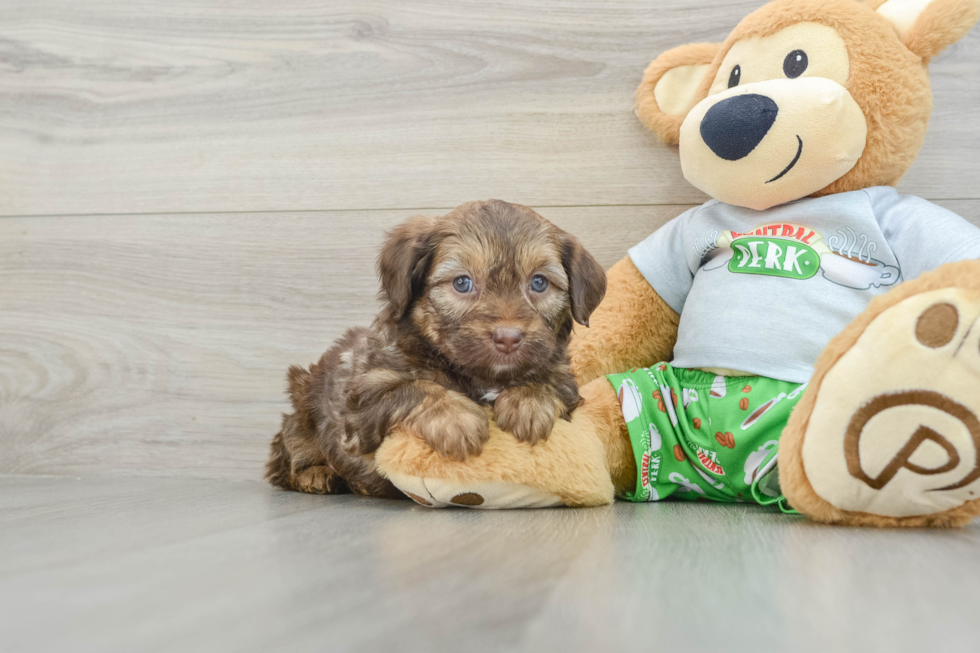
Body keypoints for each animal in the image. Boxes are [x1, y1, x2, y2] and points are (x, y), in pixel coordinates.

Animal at [266, 199, 604, 494]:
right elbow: (415, 388)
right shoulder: (362, 401)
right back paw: (316, 474)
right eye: (462, 283)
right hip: (301, 409)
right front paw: (456, 419)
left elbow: (550, 382)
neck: (480, 375)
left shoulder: (565, 381)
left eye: (539, 282)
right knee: (286, 458)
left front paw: (528, 401)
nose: (508, 337)